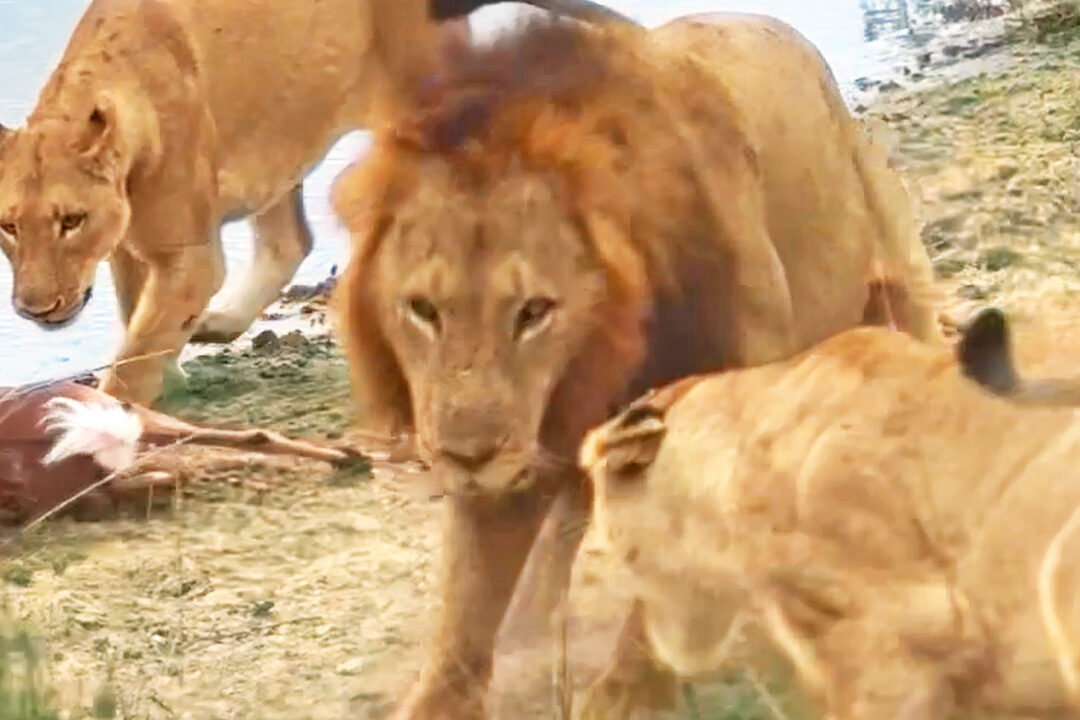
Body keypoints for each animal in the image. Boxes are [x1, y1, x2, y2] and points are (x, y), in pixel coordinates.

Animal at [0, 0, 627, 407]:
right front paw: (171, 378)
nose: (33, 309)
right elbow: (138, 323)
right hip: (283, 135)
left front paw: (107, 418)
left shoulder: (189, 256)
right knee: (290, 241)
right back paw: (217, 325)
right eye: (7, 227)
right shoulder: (133, 249)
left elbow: (137, 353)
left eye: (70, 221)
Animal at [333, 10, 944, 720]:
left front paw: (629, 692)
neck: (606, 350)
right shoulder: (521, 440)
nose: (467, 456)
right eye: (423, 309)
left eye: (534, 310)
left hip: (900, 282)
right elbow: (466, 603)